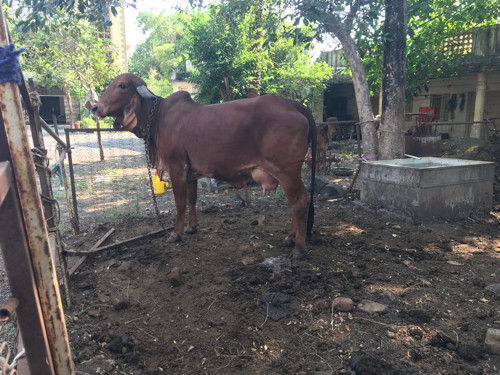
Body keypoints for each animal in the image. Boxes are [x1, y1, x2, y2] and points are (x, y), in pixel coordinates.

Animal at [93, 74, 316, 260]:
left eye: (122, 86)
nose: (95, 108)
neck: (158, 116)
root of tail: (292, 104)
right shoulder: (191, 173)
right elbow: (192, 200)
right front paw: (192, 227)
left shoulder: (176, 167)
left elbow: (180, 203)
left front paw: (176, 233)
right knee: (295, 203)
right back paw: (290, 239)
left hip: (287, 170)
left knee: (300, 201)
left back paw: (298, 247)